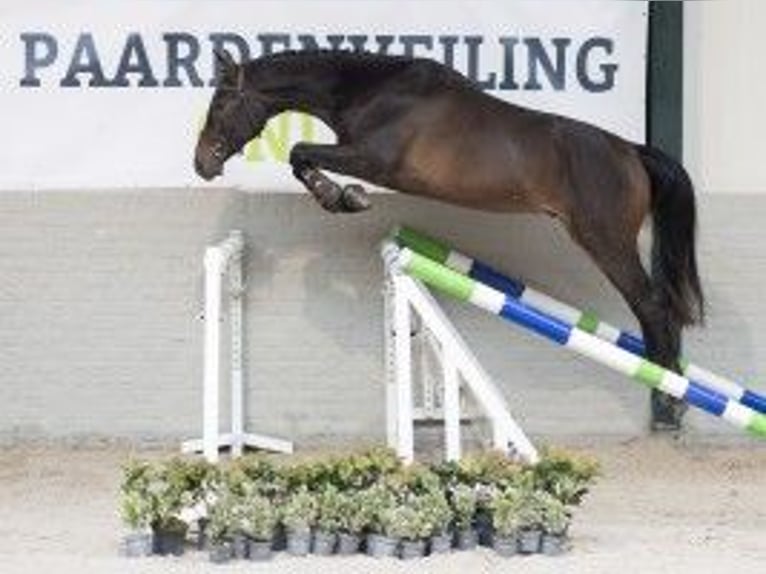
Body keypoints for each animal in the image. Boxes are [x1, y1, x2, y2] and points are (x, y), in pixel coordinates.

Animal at [195, 49, 704, 430]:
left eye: (220, 105)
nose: (202, 163)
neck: (371, 91)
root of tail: (631, 152)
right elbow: (301, 157)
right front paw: (343, 196)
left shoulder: (374, 160)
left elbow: (300, 153)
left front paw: (342, 197)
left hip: (605, 241)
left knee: (652, 306)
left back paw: (669, 401)